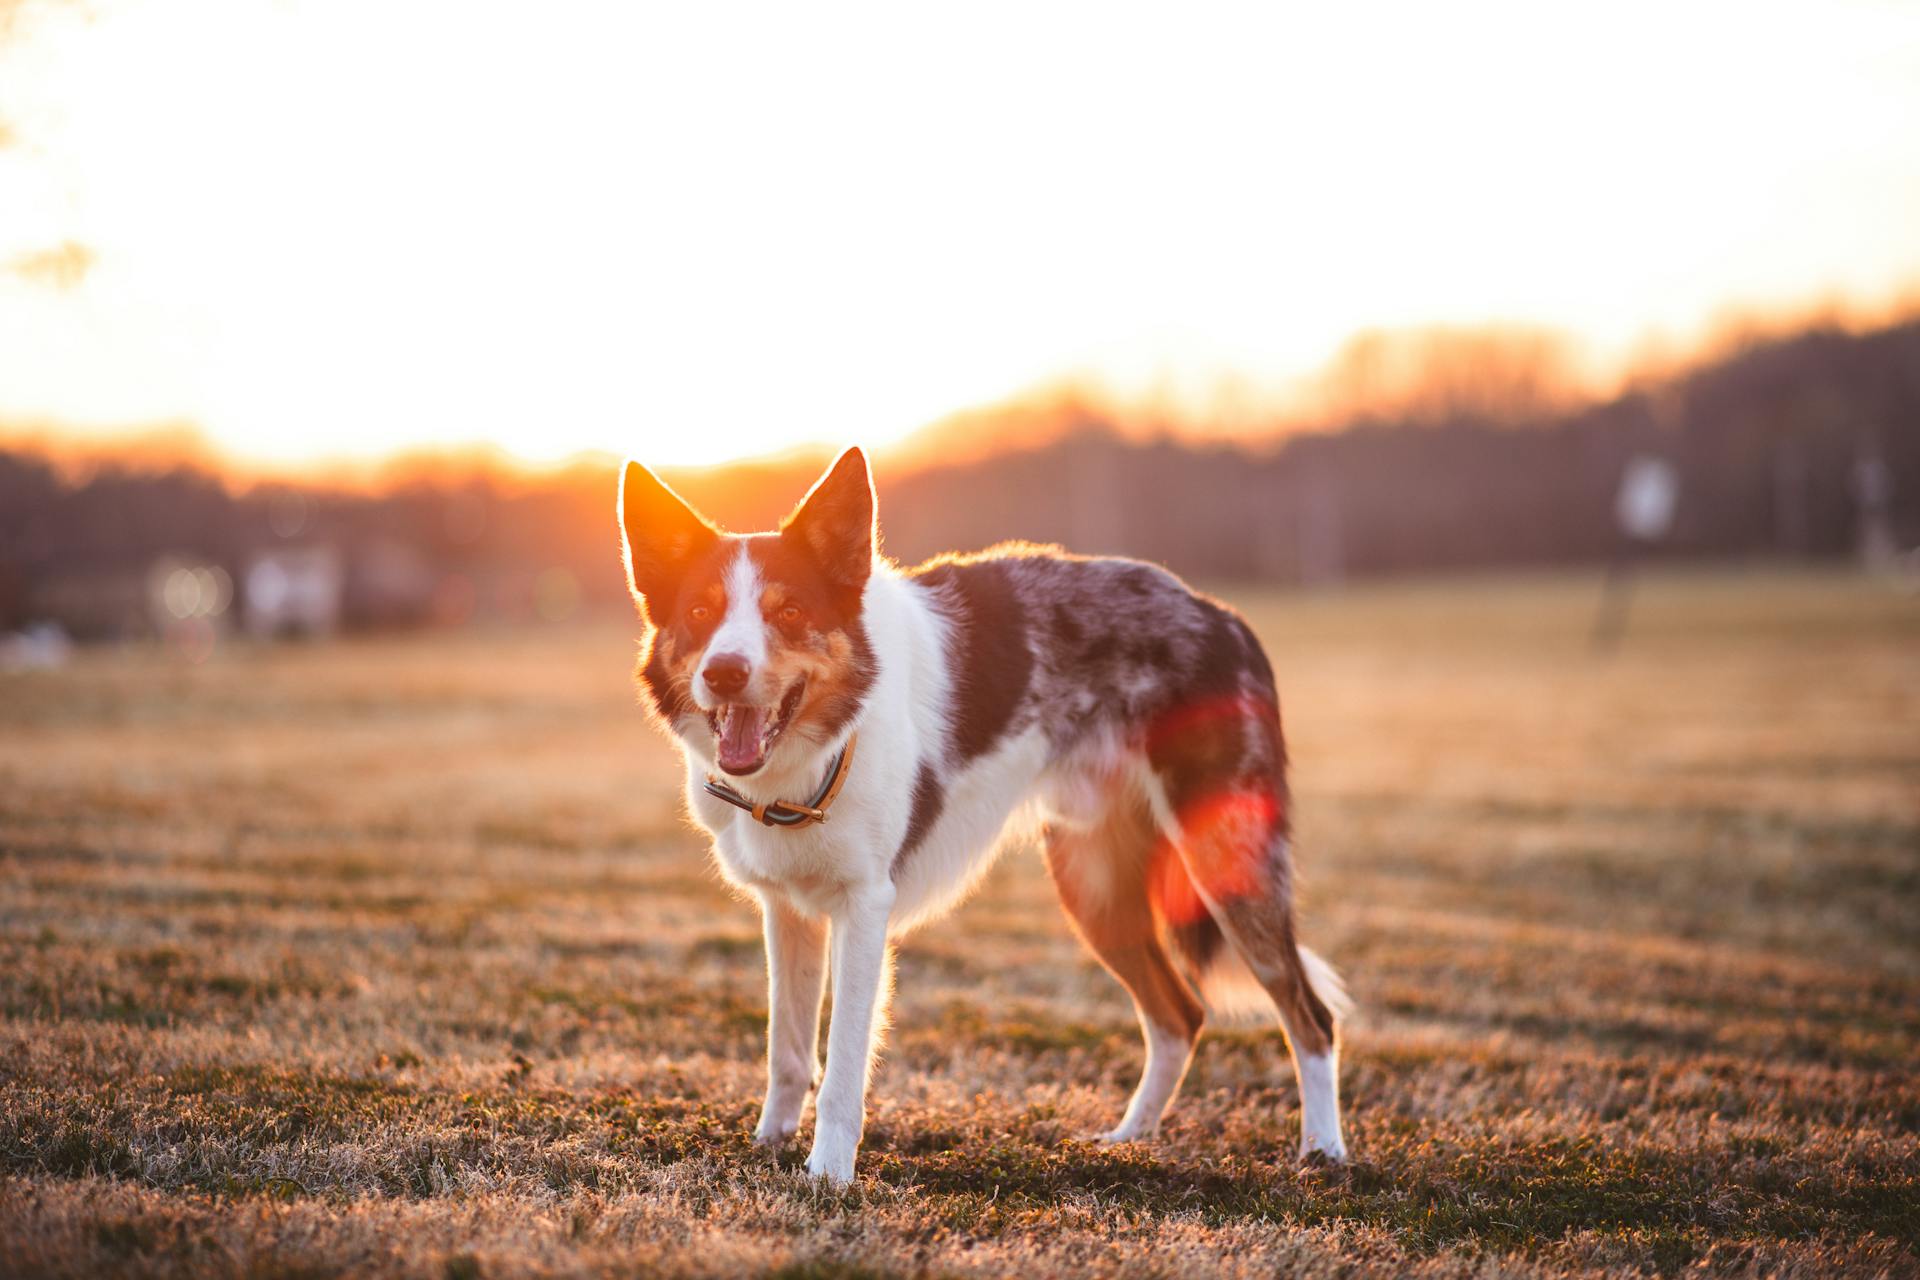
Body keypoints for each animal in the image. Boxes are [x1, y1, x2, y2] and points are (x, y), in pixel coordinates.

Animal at [614, 445, 1351, 1189]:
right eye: (701, 611)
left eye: (789, 612)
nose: (725, 673)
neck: (811, 752)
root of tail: (1219, 614)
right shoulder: (787, 911)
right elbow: (788, 1050)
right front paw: (770, 1146)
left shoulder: (864, 908)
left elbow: (844, 1064)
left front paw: (827, 1176)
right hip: (1093, 887)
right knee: (1179, 1013)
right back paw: (1131, 1139)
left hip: (1226, 859)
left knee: (1308, 1016)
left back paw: (1323, 1151)